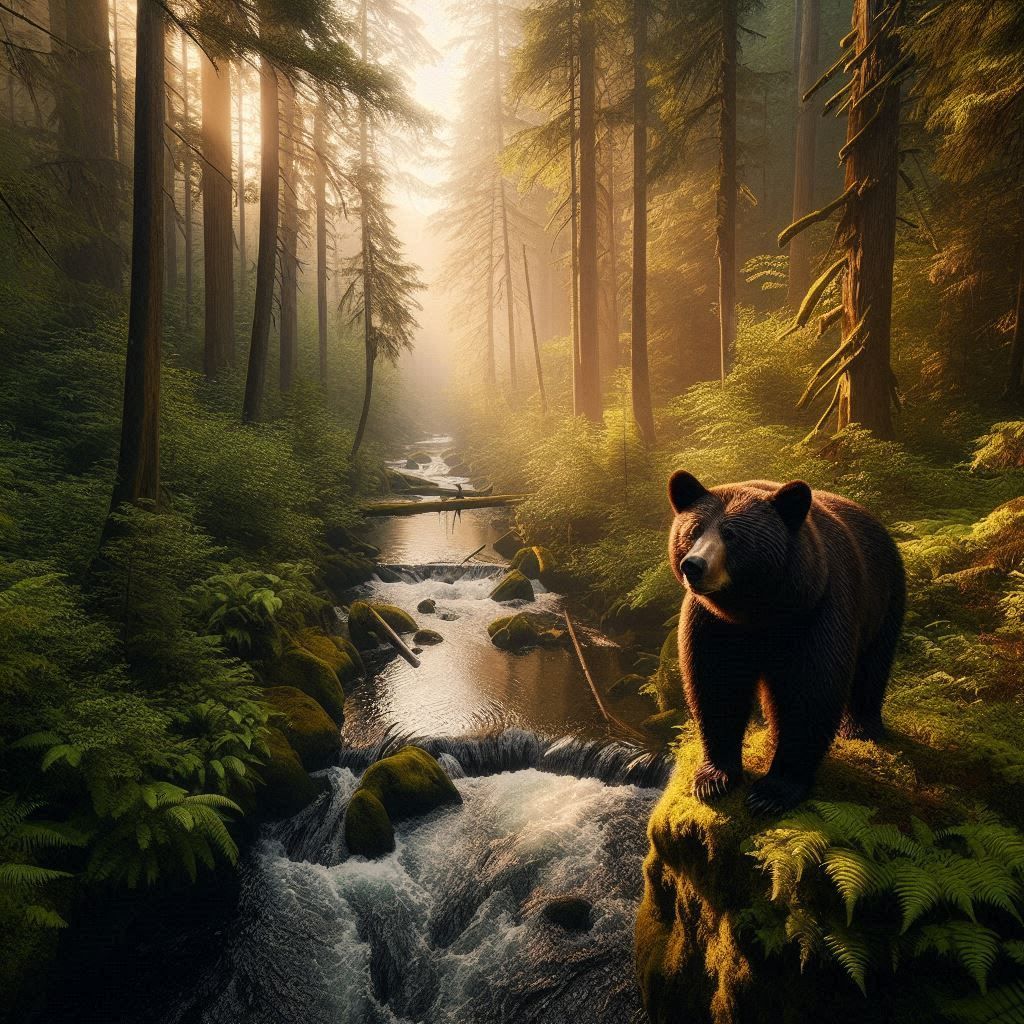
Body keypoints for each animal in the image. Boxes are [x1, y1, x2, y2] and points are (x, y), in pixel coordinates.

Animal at [667, 470, 905, 815]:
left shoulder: (816, 611)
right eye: (693, 530)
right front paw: (713, 779)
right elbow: (717, 684)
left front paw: (772, 792)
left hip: (884, 596)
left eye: (731, 534)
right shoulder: (714, 623)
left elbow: (810, 691)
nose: (694, 565)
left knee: (873, 664)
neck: (759, 610)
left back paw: (861, 727)